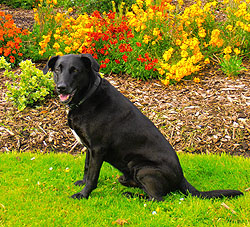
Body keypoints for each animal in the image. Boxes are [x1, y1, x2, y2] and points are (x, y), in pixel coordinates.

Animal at [43, 54, 244, 201]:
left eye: (75, 70)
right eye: (58, 69)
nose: (61, 87)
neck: (88, 96)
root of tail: (181, 177)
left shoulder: (98, 149)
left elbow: (93, 176)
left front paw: (83, 195)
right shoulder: (88, 147)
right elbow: (87, 168)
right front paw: (82, 183)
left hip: (143, 168)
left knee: (157, 198)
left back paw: (131, 194)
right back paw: (126, 182)